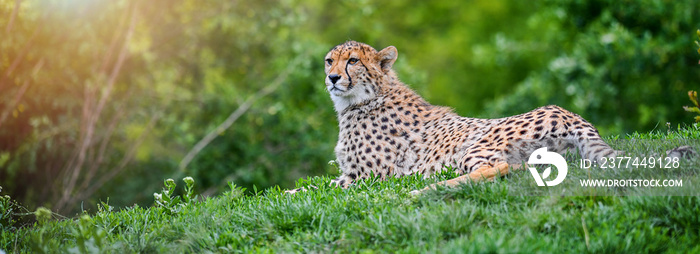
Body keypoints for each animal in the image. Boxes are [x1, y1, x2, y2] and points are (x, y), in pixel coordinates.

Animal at [284, 40, 688, 194]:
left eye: (352, 60)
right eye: (329, 61)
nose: (332, 78)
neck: (363, 100)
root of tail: (568, 113)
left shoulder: (366, 177)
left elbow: (312, 187)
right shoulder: (355, 175)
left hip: (476, 146)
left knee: (503, 169)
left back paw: (425, 188)